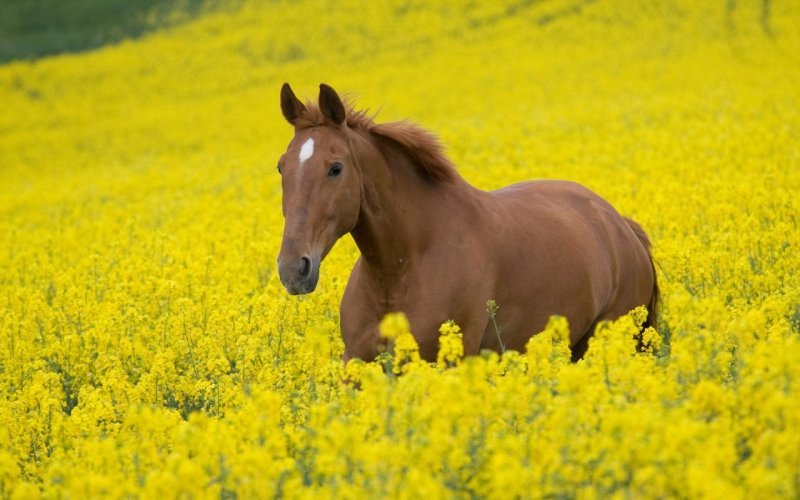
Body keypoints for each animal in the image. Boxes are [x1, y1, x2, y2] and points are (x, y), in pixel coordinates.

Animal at [278, 83, 660, 364]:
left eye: (336, 168)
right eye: (281, 166)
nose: (293, 269)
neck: (400, 269)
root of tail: (621, 225)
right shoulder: (356, 363)